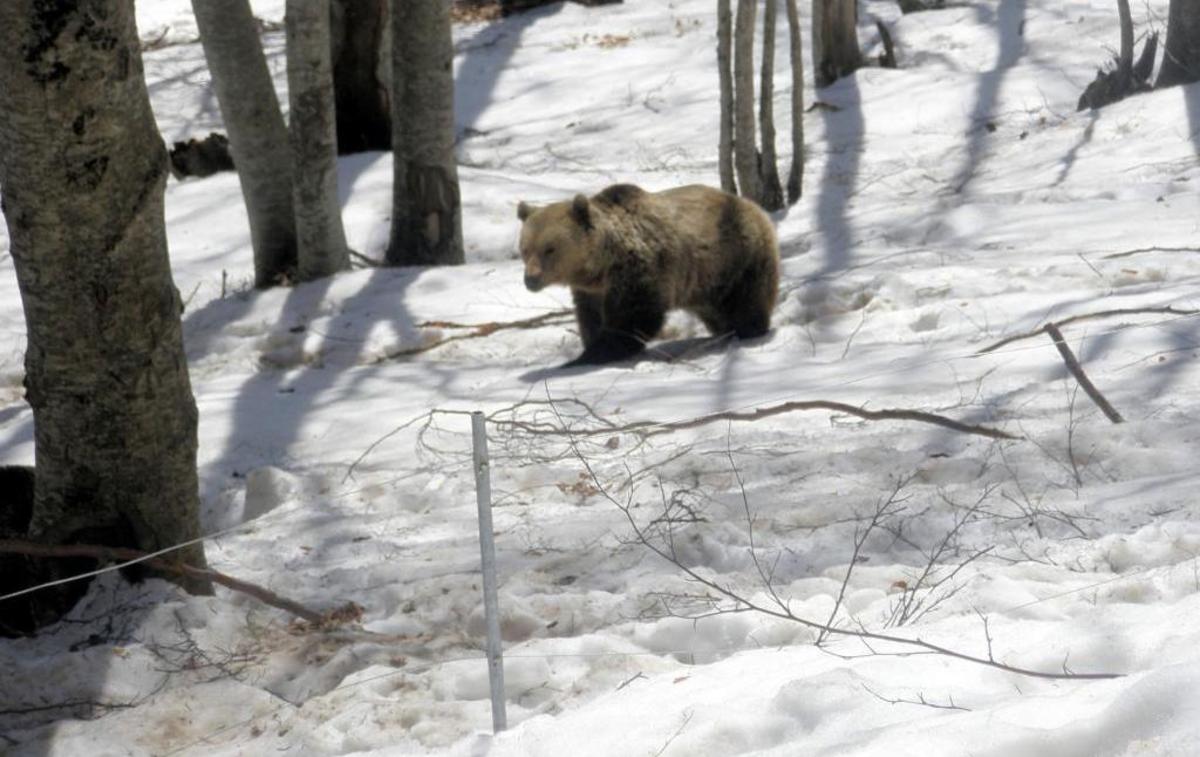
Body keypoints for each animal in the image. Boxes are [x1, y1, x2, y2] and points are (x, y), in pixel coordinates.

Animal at [513, 184, 777, 369]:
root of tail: (753, 206)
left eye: (549, 249)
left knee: (746, 300)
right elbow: (591, 318)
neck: (600, 266)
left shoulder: (639, 271)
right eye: (525, 249)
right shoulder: (591, 291)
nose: (531, 279)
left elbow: (634, 317)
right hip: (706, 282)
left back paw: (748, 330)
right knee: (716, 311)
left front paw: (589, 356)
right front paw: (590, 346)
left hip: (735, 256)